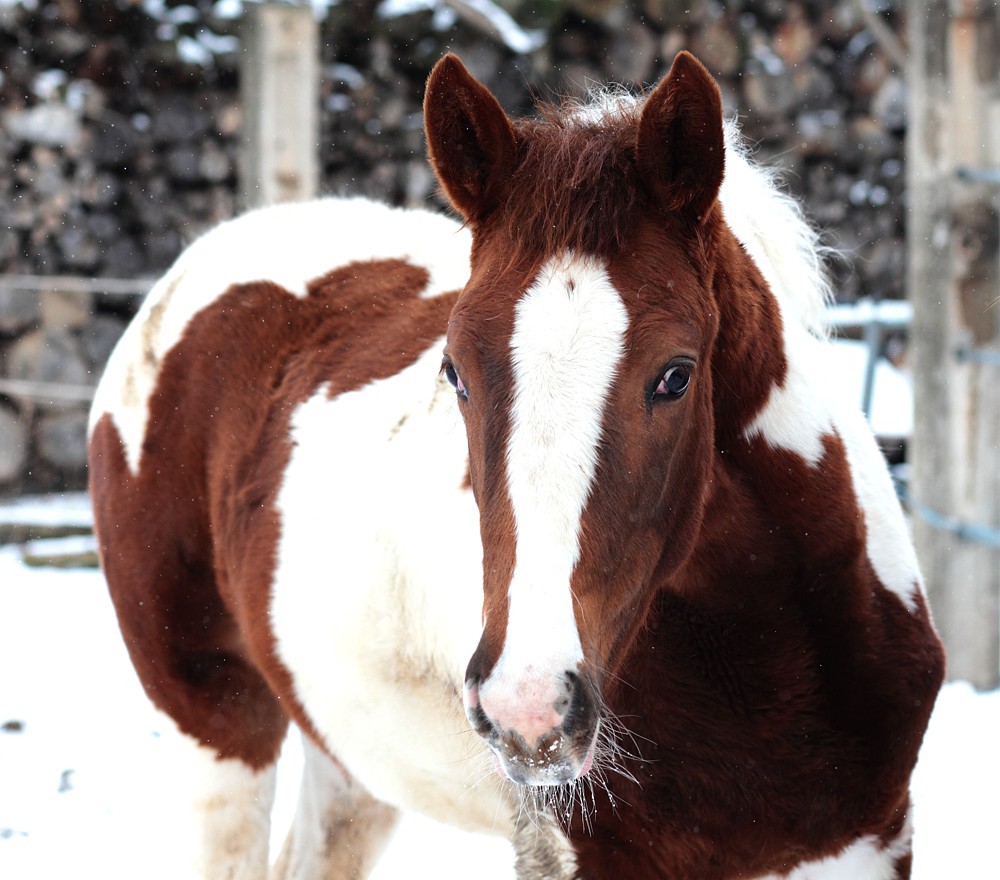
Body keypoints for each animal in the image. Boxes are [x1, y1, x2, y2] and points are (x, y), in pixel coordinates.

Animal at [88, 53, 944, 880]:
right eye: (455, 372)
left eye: (676, 375)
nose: (528, 711)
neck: (771, 665)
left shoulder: (869, 842)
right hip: (219, 726)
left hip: (349, 759)